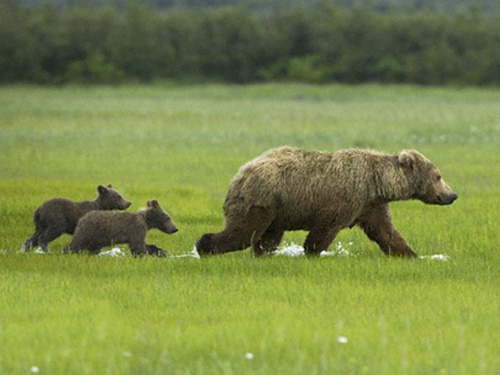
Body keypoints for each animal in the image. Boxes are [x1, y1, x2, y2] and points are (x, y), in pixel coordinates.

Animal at [194, 147, 458, 258]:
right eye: (438, 176)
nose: (452, 195)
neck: (377, 183)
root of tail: (239, 174)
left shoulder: (370, 206)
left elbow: (386, 232)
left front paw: (411, 254)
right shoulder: (346, 197)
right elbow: (325, 227)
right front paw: (312, 252)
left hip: (277, 210)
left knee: (266, 237)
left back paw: (262, 254)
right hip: (262, 200)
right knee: (243, 232)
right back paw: (204, 246)